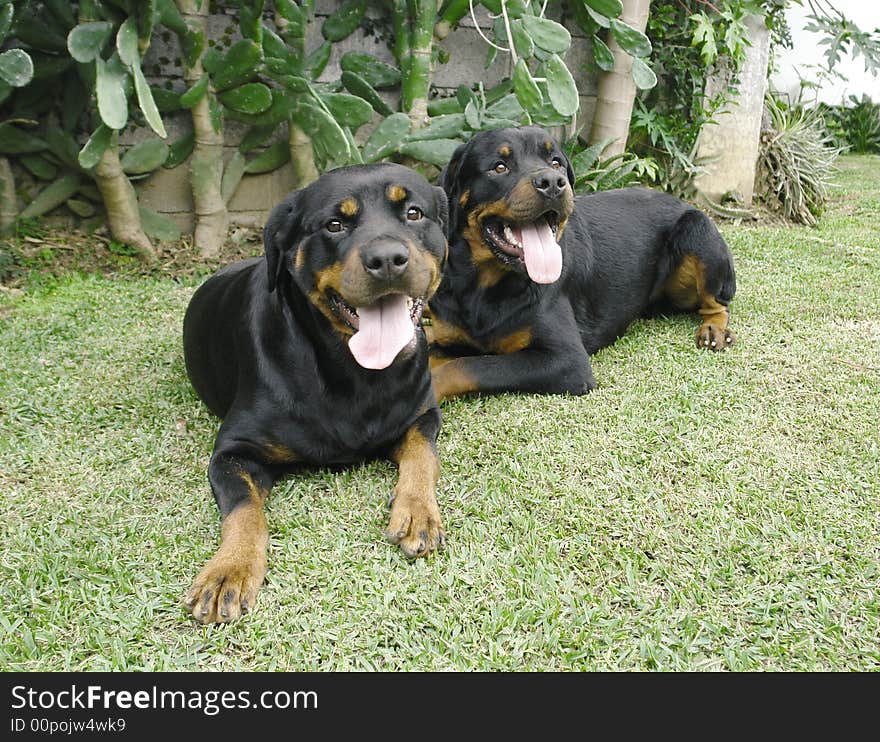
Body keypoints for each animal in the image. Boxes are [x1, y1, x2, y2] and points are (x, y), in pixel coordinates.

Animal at [184, 163, 446, 620]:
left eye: (414, 213)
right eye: (334, 225)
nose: (387, 260)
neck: (355, 372)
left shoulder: (422, 414)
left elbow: (422, 456)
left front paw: (416, 511)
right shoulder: (232, 452)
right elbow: (243, 509)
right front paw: (229, 569)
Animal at [426, 127, 736, 402]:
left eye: (556, 163)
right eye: (499, 167)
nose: (553, 182)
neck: (483, 286)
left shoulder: (567, 361)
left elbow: (469, 366)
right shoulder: (451, 337)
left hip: (699, 230)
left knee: (717, 303)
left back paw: (714, 330)